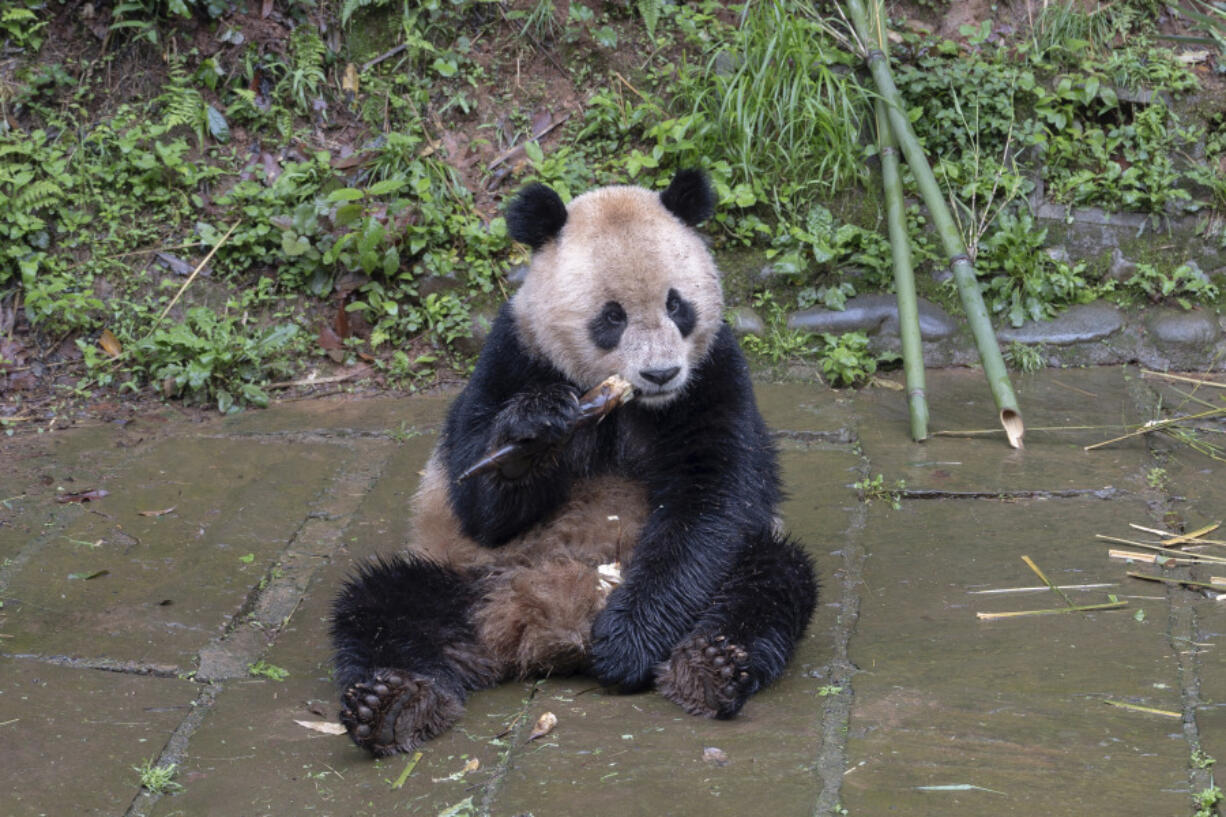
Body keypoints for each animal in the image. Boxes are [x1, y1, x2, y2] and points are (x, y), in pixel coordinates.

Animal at [331, 170, 818, 755]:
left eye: (678, 305)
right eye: (612, 316)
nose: (660, 373)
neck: (623, 402)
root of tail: (547, 623)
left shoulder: (713, 374)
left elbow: (712, 500)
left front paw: (628, 644)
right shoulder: (513, 355)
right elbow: (477, 500)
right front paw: (532, 436)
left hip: (730, 571)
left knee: (770, 579)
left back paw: (710, 668)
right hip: (467, 577)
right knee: (381, 606)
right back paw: (395, 705)